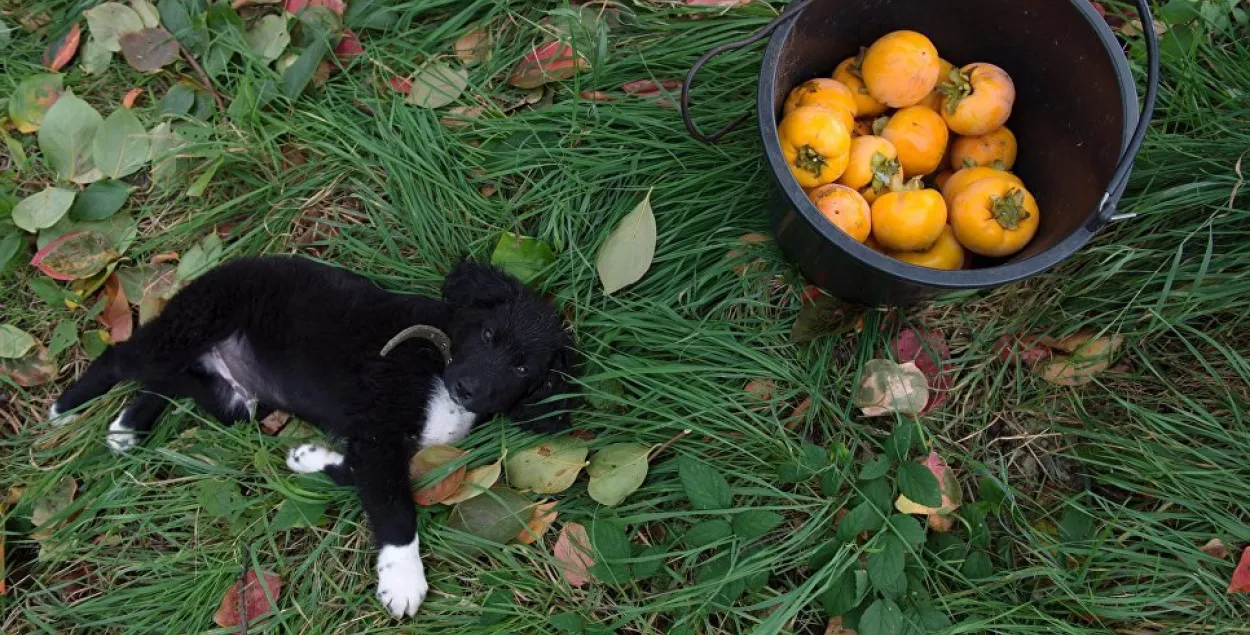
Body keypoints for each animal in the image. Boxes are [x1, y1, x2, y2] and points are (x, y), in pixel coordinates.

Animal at [47, 255, 575, 617]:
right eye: (486, 336)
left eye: (523, 369)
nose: (468, 387)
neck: (442, 363)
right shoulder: (379, 427)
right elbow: (393, 504)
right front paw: (403, 577)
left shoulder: (376, 440)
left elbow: (359, 474)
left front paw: (305, 457)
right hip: (193, 327)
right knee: (124, 358)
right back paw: (66, 406)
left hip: (235, 402)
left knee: (173, 380)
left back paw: (128, 426)